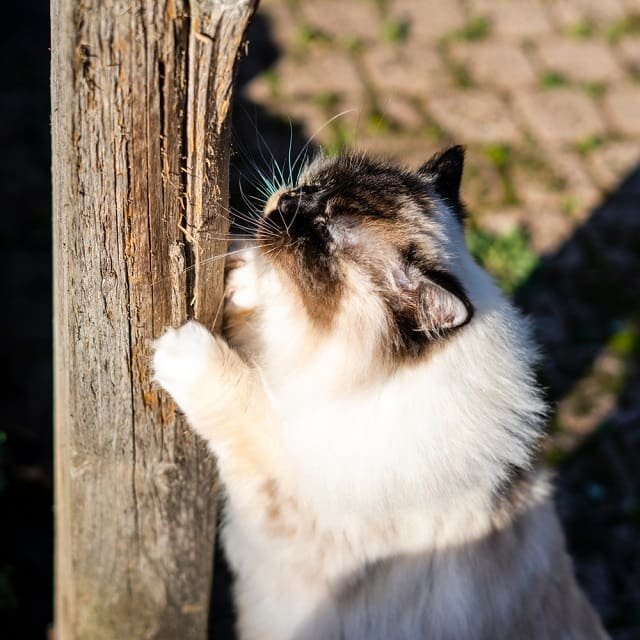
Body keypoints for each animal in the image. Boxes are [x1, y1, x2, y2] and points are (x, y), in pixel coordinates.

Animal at [152, 148, 608, 636]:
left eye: (325, 231)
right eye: (315, 188)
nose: (288, 200)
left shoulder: (286, 485)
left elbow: (248, 404)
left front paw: (180, 350)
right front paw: (244, 278)